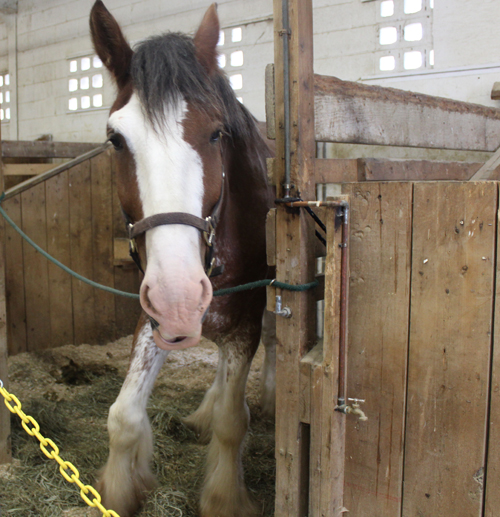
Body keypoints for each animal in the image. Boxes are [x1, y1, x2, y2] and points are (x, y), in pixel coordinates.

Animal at [90, 2, 278, 512]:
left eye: (217, 133)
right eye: (115, 139)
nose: (179, 297)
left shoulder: (247, 323)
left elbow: (234, 422)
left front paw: (225, 498)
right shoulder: (151, 318)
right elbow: (123, 415)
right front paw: (120, 491)